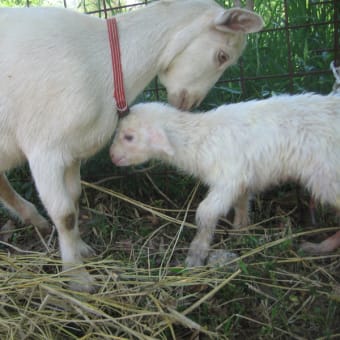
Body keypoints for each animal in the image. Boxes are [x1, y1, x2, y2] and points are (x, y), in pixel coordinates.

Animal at [110, 94, 340, 266]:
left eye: (129, 137)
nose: (112, 157)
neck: (199, 139)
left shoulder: (228, 178)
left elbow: (205, 213)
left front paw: (196, 253)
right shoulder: (243, 177)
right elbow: (241, 203)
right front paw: (240, 230)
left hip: (329, 177)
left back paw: (321, 247)